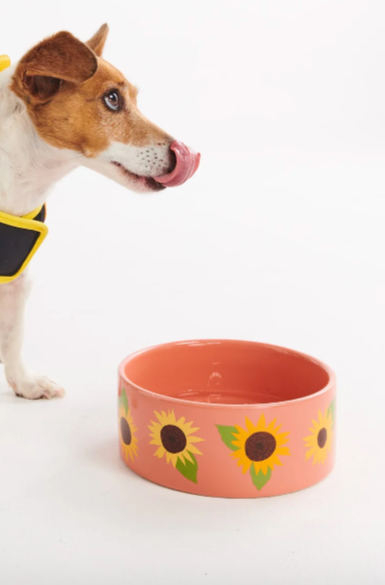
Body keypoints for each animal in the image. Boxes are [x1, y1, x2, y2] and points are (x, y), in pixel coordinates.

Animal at [0, 22, 198, 396]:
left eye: (133, 98)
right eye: (112, 99)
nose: (185, 153)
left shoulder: (19, 278)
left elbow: (14, 333)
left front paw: (25, 383)